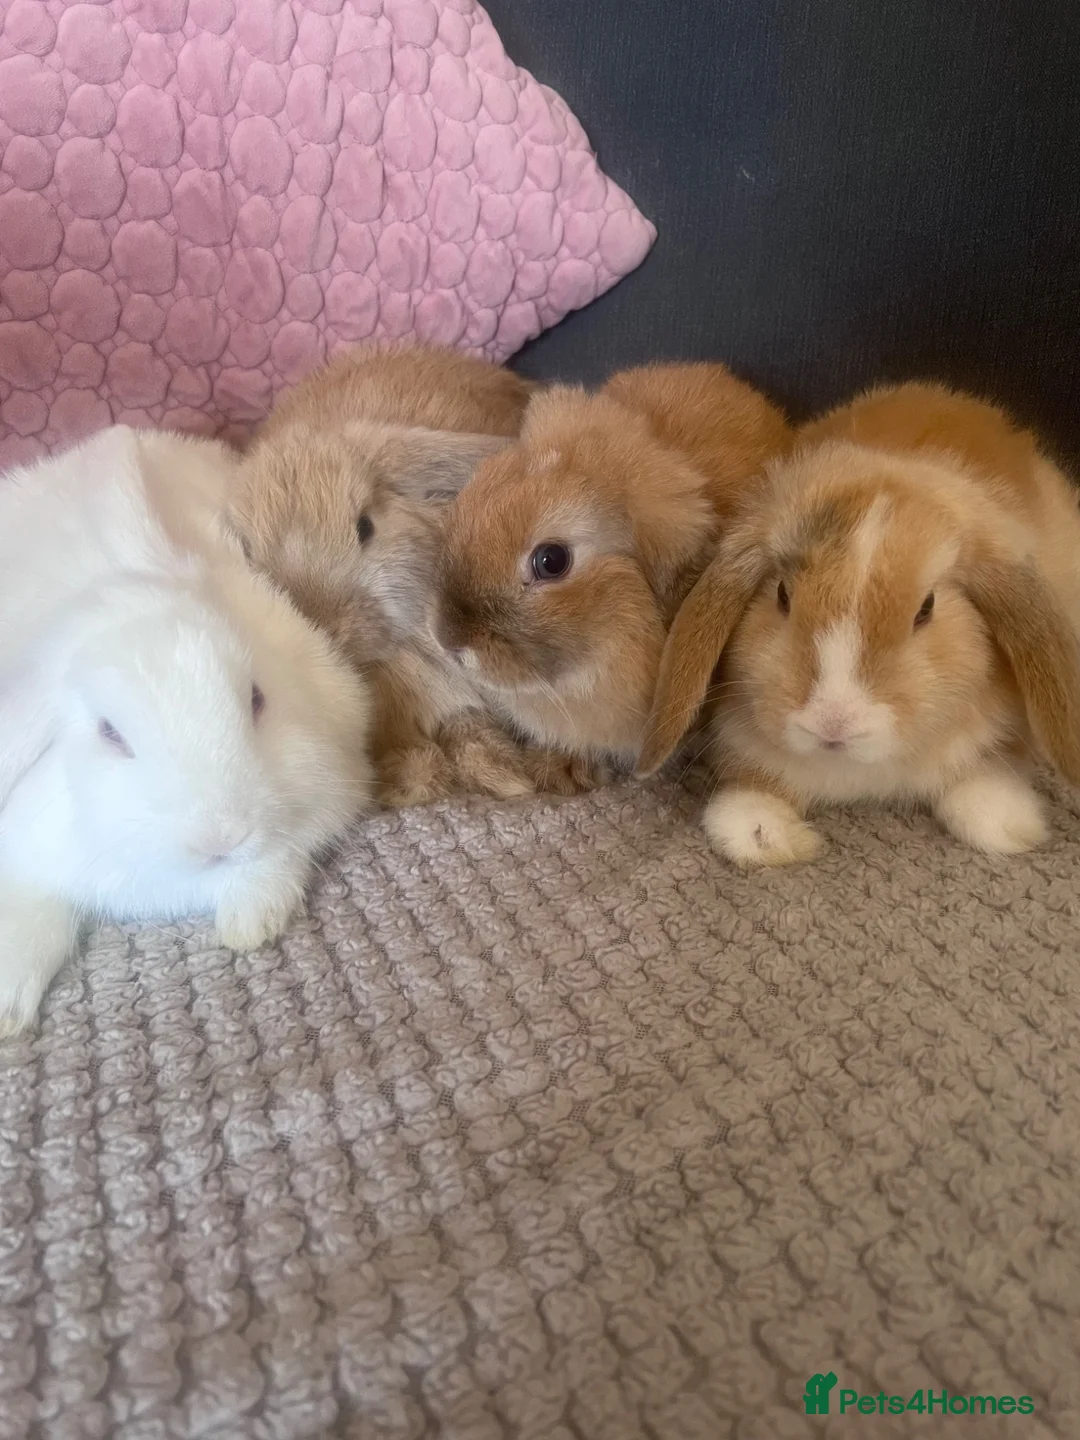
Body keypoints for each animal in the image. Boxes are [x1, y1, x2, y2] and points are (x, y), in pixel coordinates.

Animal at [0, 427, 372, 1034]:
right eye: (110, 733)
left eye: (256, 698)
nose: (219, 838)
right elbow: (27, 906)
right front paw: (8, 1008)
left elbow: (278, 858)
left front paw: (252, 922)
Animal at [230, 341, 606, 805]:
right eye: (251, 554)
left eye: (365, 527)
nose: (326, 626)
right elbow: (461, 729)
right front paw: (426, 777)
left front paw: (546, 771)